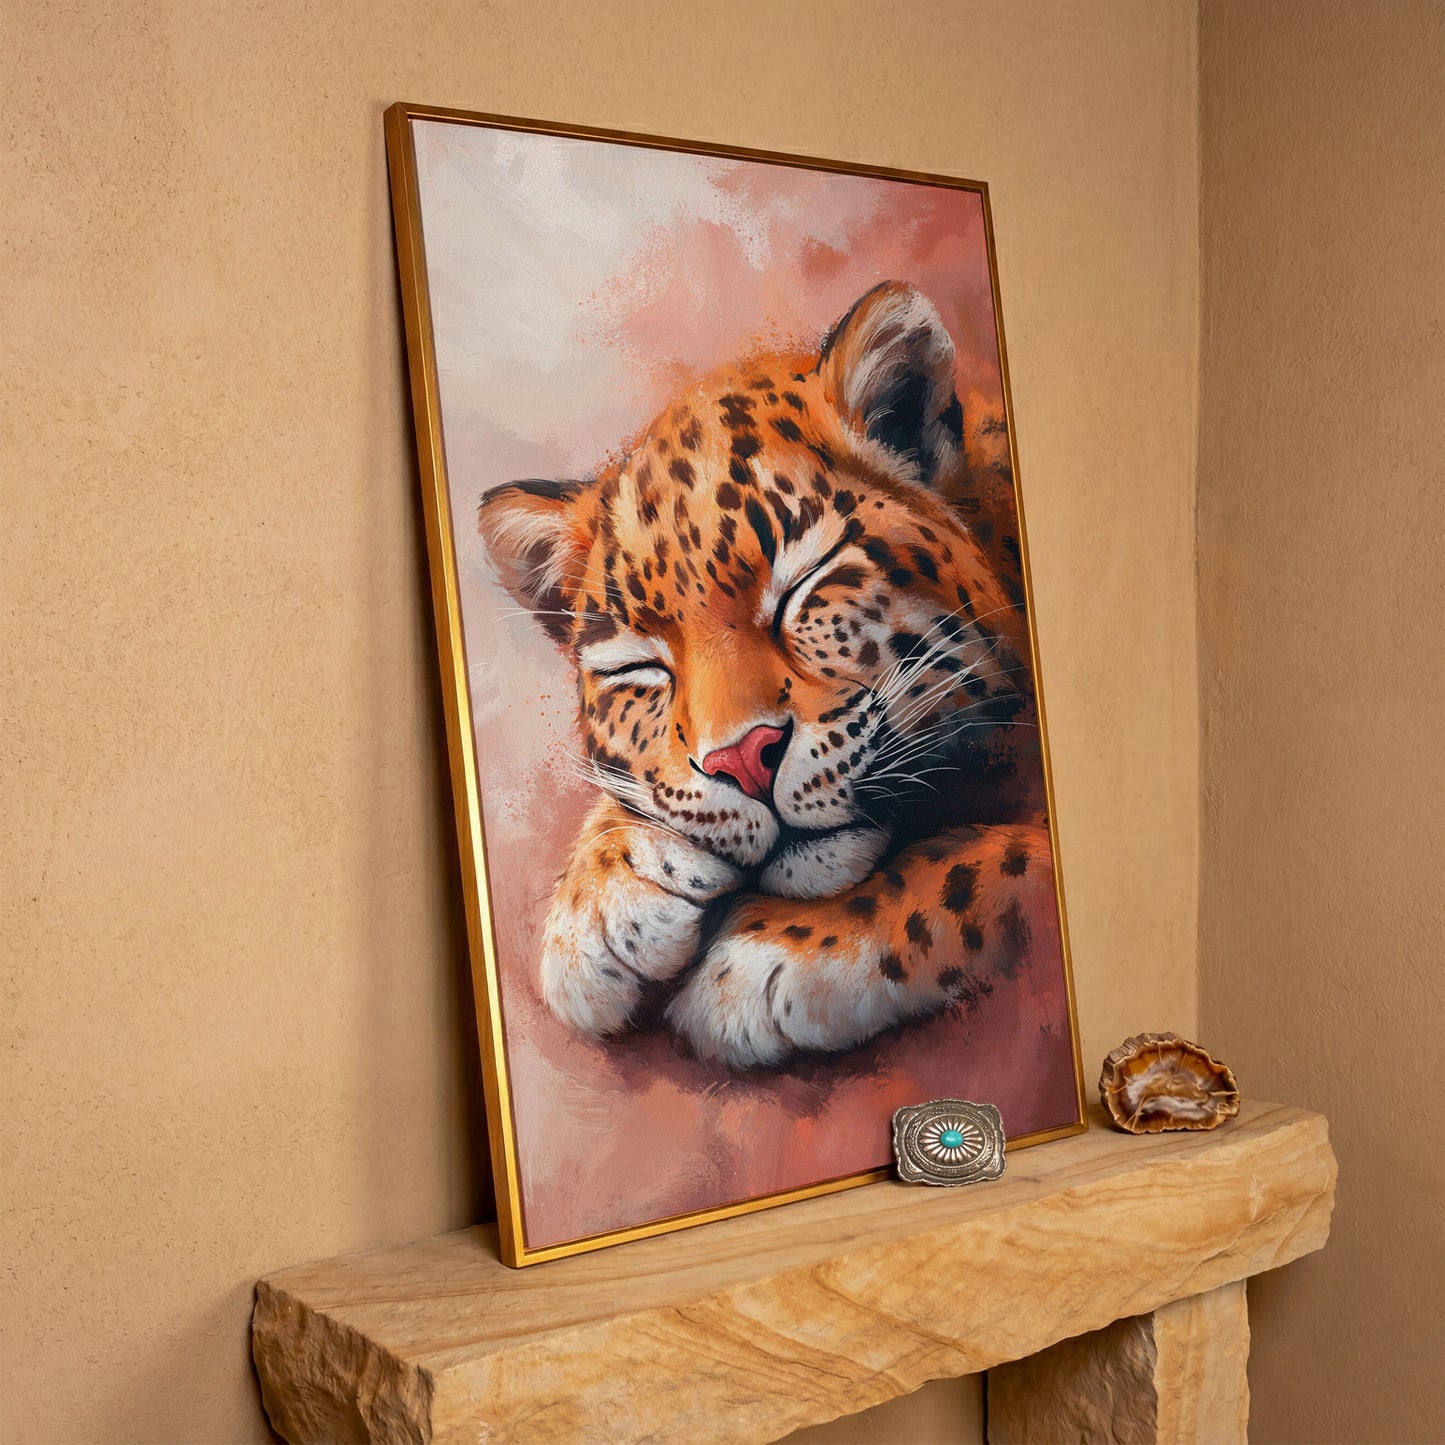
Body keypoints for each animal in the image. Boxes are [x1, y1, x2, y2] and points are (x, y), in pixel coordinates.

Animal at [478, 280, 1058, 1070]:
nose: (745, 761)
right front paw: (601, 897)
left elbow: (1005, 858)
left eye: (799, 587)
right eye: (640, 666)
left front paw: (770, 955)